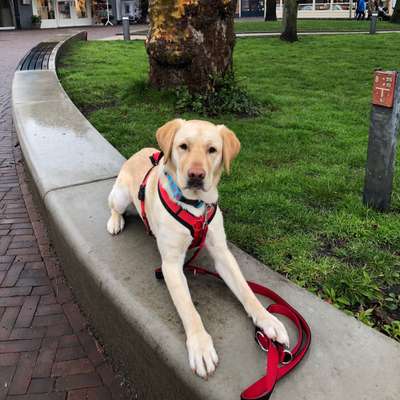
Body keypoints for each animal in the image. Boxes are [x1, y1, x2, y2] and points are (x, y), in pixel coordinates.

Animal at [106, 119, 288, 378]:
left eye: (212, 150)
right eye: (183, 146)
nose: (196, 175)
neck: (195, 205)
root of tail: (140, 151)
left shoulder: (222, 253)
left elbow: (246, 291)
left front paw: (267, 319)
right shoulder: (171, 265)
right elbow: (189, 309)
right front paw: (200, 346)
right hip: (120, 196)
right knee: (114, 207)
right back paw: (115, 222)